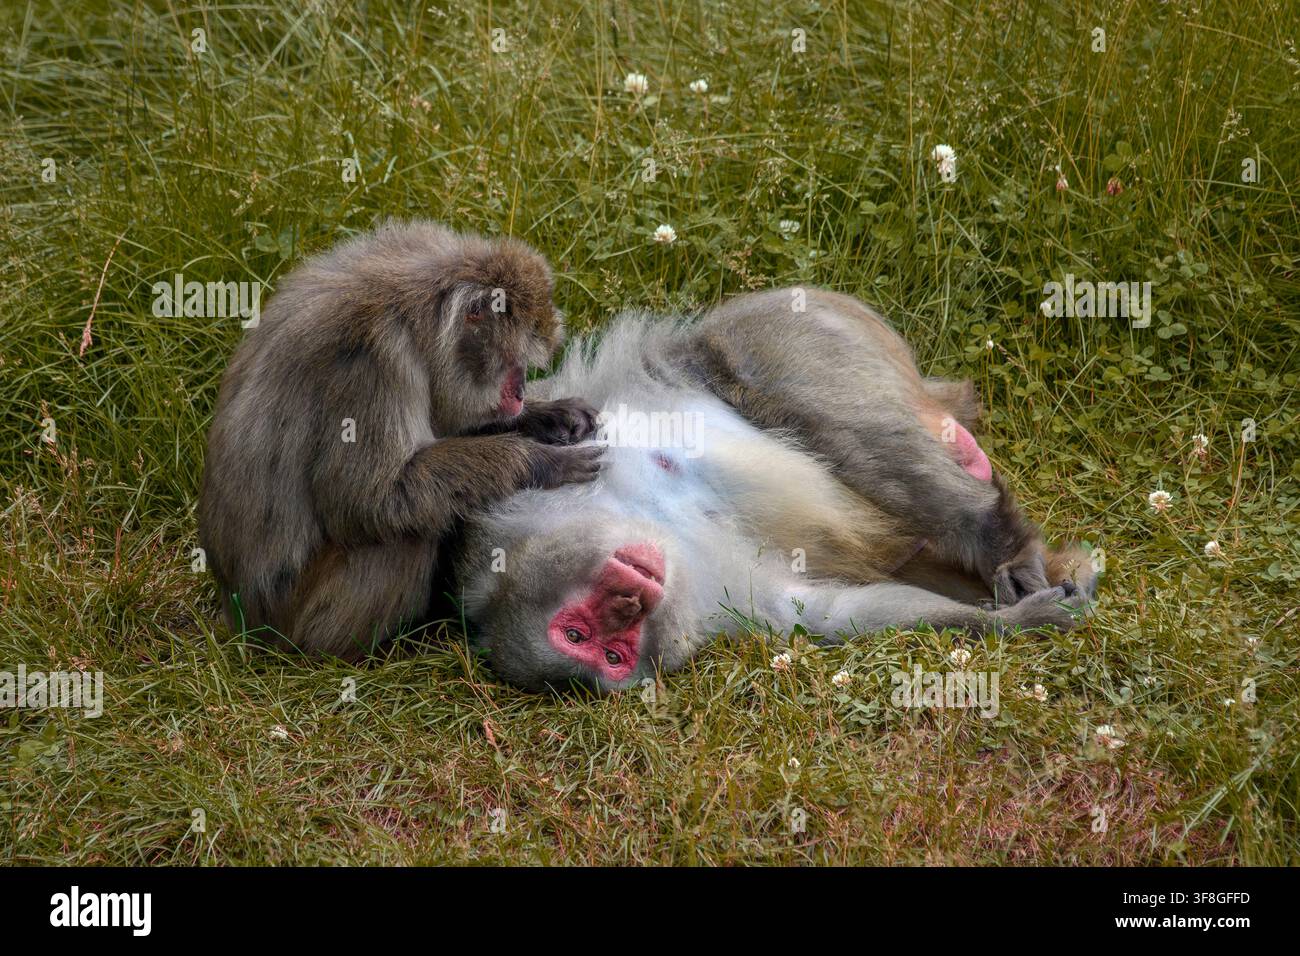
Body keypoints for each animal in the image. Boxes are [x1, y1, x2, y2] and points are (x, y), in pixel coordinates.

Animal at [198, 220, 603, 660]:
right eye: (515, 364)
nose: (521, 394)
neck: (414, 319)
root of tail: (244, 620)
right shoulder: (372, 361)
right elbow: (369, 499)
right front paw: (537, 460)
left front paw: (550, 417)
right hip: (305, 621)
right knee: (402, 533)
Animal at [452, 287, 1096, 692]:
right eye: (602, 649)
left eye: (581, 631)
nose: (628, 605)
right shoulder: (729, 603)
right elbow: (825, 613)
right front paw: (1013, 625)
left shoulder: (513, 499)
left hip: (791, 329)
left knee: (832, 423)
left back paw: (1003, 541)